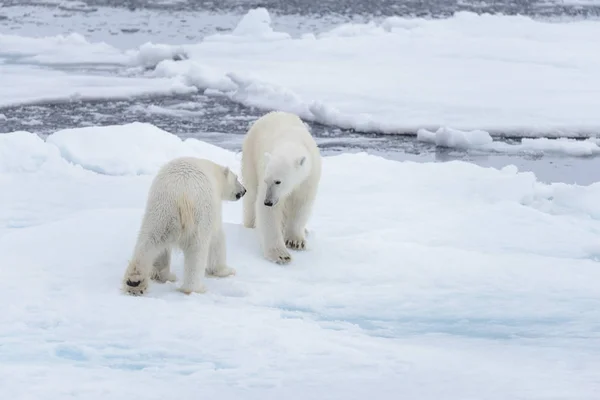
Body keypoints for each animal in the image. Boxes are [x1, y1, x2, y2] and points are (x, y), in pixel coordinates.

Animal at [122, 157, 246, 296]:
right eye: (236, 178)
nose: (244, 190)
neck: (213, 172)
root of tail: (181, 194)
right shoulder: (212, 210)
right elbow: (217, 238)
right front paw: (225, 271)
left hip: (160, 212)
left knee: (149, 241)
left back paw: (136, 282)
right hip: (198, 217)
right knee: (197, 252)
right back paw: (195, 288)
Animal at [241, 111, 322, 264]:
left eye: (278, 181)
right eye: (266, 181)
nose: (268, 202)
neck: (291, 142)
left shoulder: (308, 178)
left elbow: (301, 204)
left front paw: (296, 241)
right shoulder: (264, 172)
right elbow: (269, 213)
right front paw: (280, 255)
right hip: (250, 155)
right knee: (251, 196)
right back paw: (251, 225)